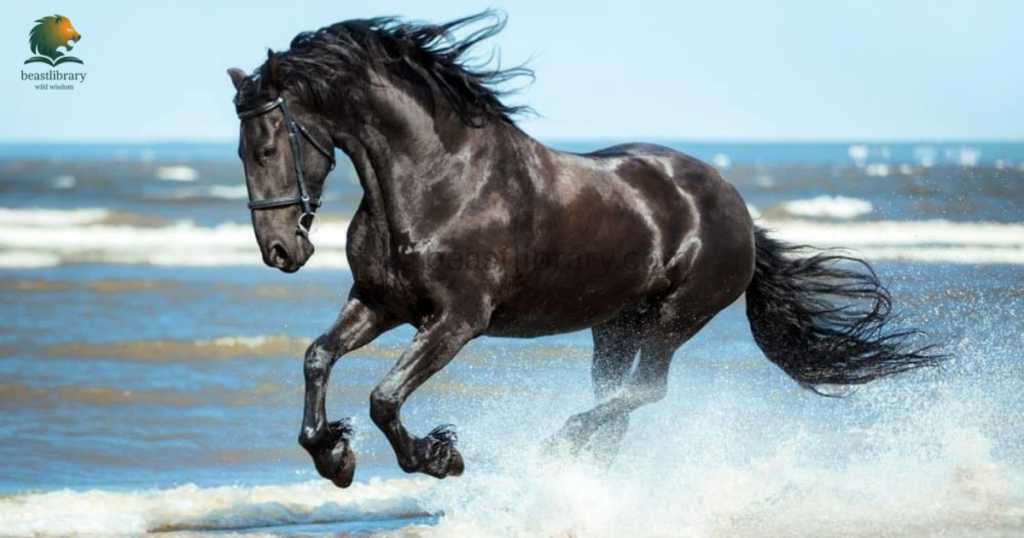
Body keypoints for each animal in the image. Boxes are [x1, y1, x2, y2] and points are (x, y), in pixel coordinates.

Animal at [227, 12, 941, 488]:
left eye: (268, 146)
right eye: (240, 150)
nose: (281, 250)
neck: (436, 179)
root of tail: (735, 205)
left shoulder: (457, 321)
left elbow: (385, 397)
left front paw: (437, 456)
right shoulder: (379, 303)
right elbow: (318, 358)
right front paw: (333, 455)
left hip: (674, 317)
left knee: (644, 392)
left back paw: (560, 444)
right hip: (614, 326)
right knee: (619, 401)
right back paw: (581, 464)